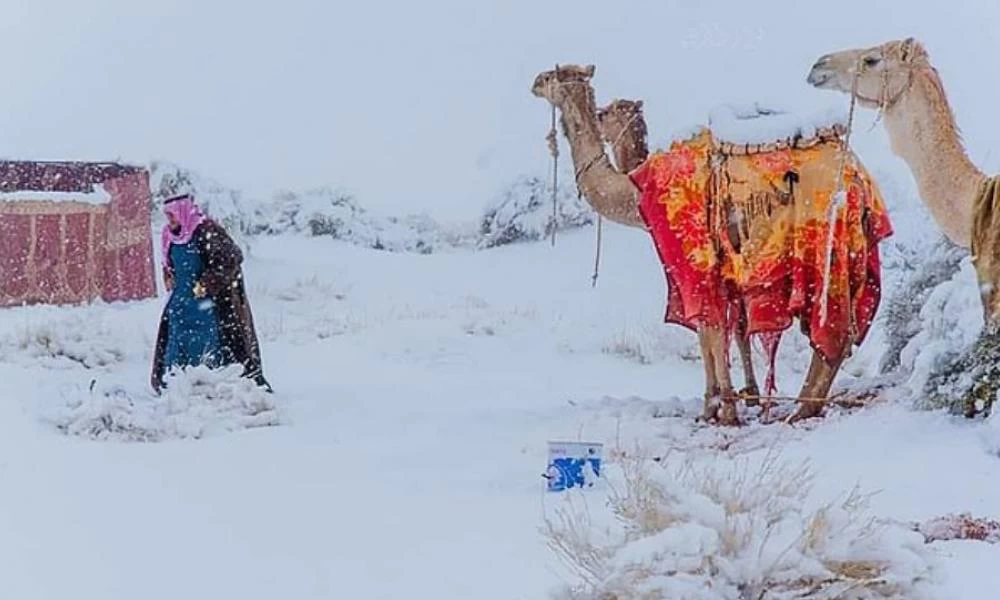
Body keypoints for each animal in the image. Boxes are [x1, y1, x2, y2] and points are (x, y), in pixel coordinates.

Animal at [536, 64, 896, 426]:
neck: (636, 192)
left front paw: (720, 408)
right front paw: (742, 398)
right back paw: (802, 405)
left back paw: (800, 409)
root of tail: (859, 179)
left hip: (826, 243)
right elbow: (730, 329)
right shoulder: (727, 270)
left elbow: (707, 329)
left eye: (552, 77)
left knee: (834, 331)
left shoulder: (692, 260)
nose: (535, 83)